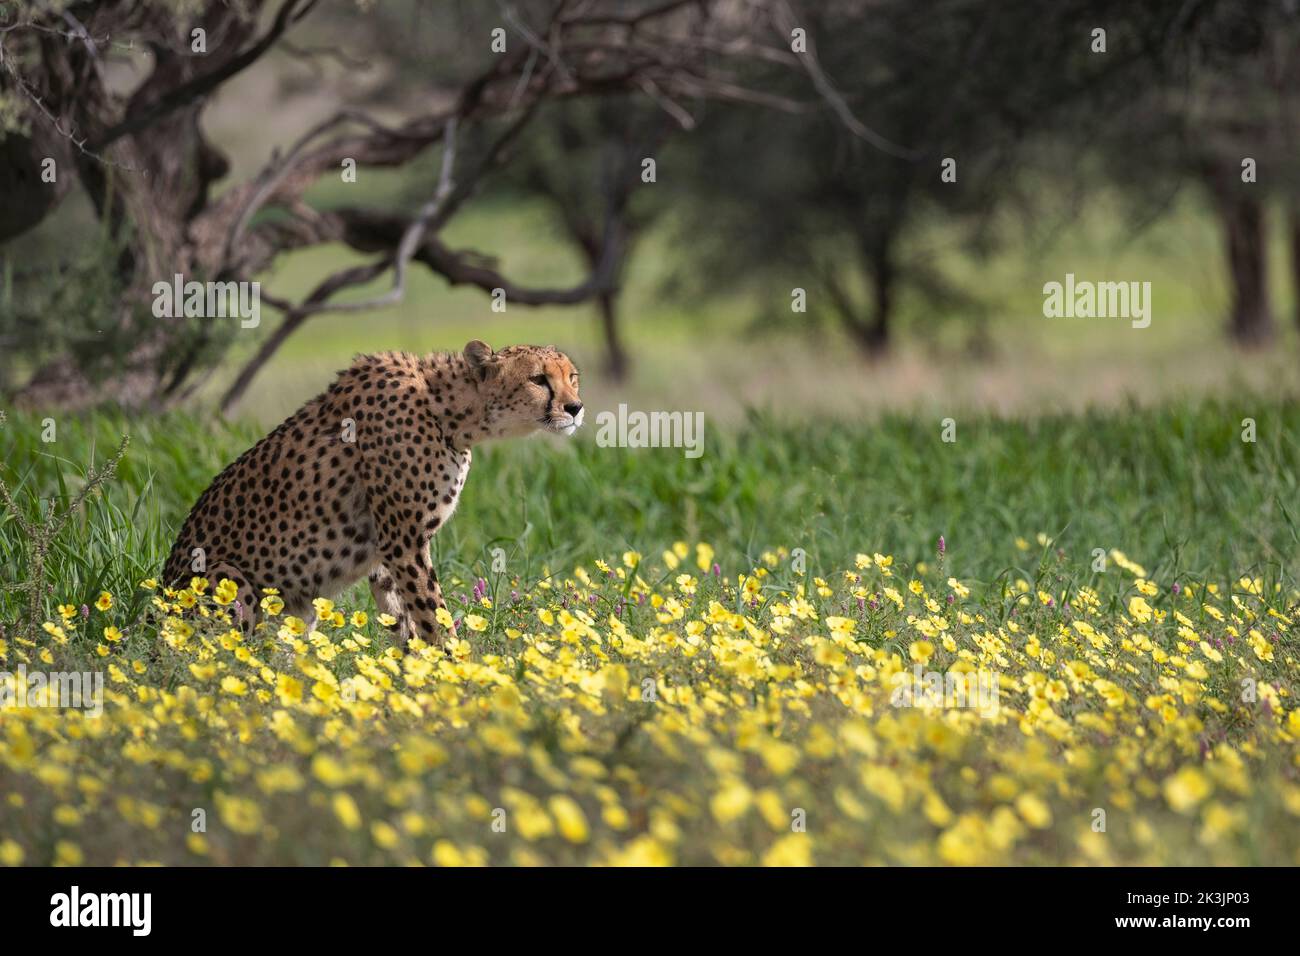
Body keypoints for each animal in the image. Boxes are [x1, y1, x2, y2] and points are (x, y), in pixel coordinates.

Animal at [162, 340, 585, 647]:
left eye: (572, 377)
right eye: (538, 379)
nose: (576, 407)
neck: (448, 411)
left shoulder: (386, 551)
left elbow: (404, 615)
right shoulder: (404, 539)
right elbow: (432, 611)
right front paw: (457, 669)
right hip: (228, 579)